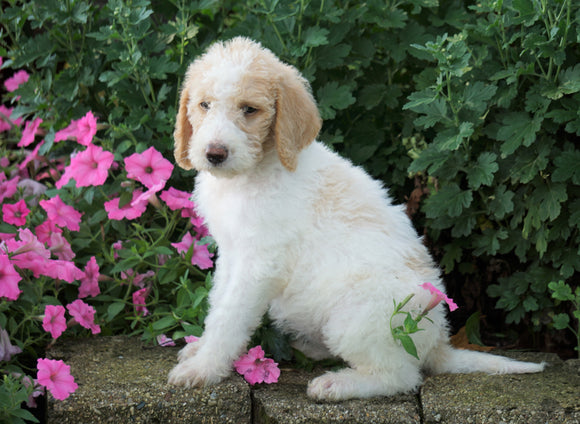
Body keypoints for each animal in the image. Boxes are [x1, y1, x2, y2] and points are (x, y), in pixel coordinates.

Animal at [167, 37, 544, 400]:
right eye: (204, 105)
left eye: (249, 109)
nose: (215, 154)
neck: (254, 172)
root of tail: (438, 342)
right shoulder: (232, 254)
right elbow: (218, 304)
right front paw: (200, 350)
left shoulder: (259, 264)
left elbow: (230, 318)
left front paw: (203, 369)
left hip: (354, 318)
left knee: (400, 377)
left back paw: (337, 384)